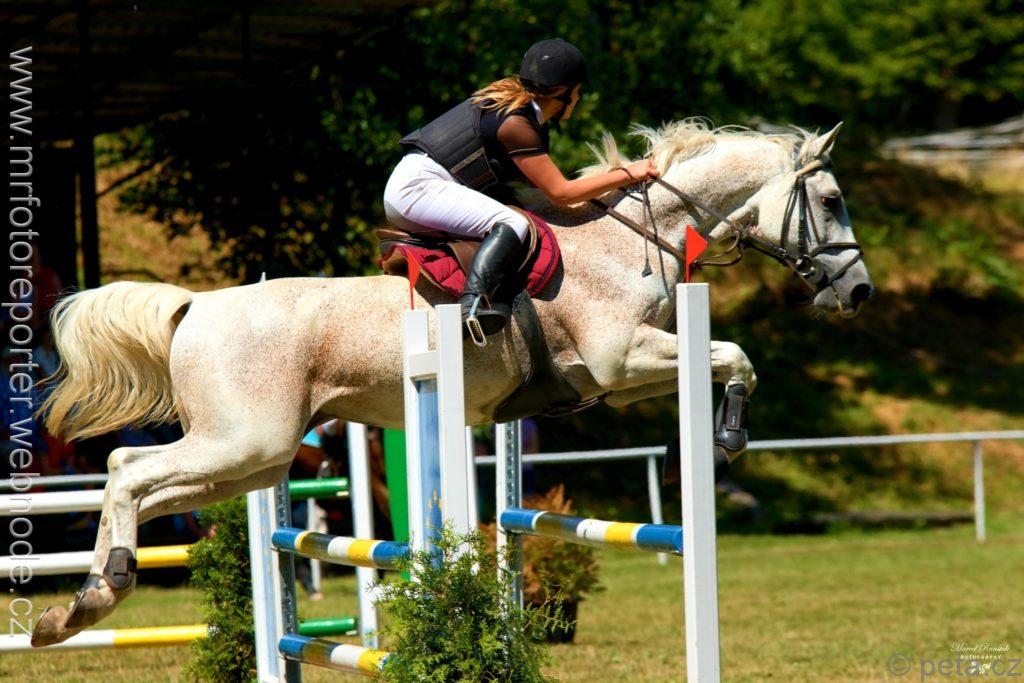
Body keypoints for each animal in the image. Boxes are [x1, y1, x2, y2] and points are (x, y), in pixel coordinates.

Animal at [31, 119, 873, 646]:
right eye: (831, 201)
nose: (859, 291)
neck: (636, 244)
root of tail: (196, 304)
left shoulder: (619, 377)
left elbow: (734, 357)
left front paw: (730, 432)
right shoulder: (625, 358)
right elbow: (734, 353)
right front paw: (728, 435)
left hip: (253, 458)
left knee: (137, 476)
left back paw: (69, 612)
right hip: (244, 440)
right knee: (126, 469)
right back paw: (98, 592)